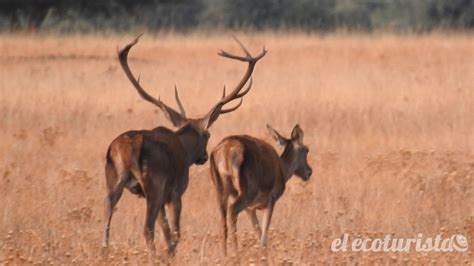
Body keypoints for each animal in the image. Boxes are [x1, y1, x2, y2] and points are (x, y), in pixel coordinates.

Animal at [103, 35, 266, 256]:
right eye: (208, 134)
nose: (204, 157)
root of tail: (130, 147)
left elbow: (165, 229)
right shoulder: (176, 190)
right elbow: (174, 232)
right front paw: (170, 253)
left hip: (113, 180)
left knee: (107, 216)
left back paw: (105, 251)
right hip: (153, 184)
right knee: (147, 228)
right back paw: (157, 256)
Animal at [209, 124, 312, 256]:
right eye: (307, 150)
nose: (309, 172)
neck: (283, 171)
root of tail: (226, 151)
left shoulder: (250, 208)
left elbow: (258, 233)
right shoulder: (270, 200)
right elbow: (263, 237)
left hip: (220, 188)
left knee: (223, 220)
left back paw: (224, 255)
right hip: (248, 191)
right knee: (232, 211)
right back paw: (236, 254)